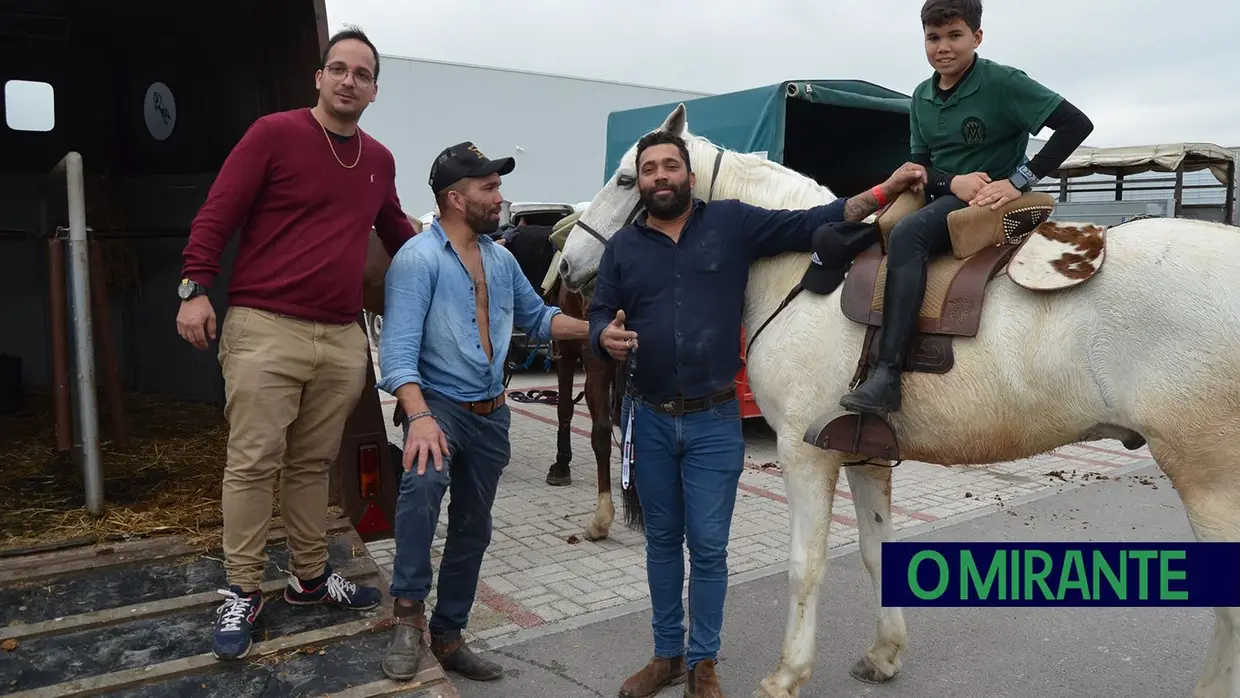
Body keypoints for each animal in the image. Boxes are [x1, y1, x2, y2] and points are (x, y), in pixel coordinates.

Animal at [558, 102, 1240, 698]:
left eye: (628, 179)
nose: (566, 265)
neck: (803, 272)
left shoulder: (804, 455)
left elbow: (806, 565)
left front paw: (787, 675)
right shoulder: (864, 454)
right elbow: (874, 551)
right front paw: (884, 654)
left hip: (1208, 476)